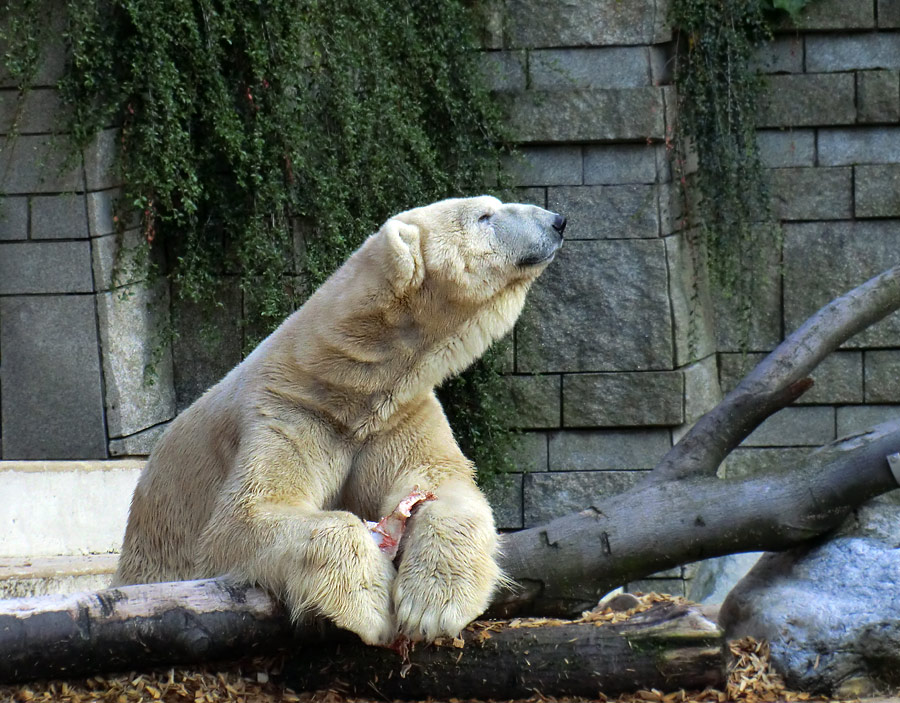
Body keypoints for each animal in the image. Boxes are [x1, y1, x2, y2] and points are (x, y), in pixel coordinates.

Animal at [112, 195, 564, 648]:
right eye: (484, 215)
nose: (557, 220)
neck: (349, 384)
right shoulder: (287, 413)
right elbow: (246, 515)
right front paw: (370, 603)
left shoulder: (396, 416)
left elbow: (441, 482)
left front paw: (433, 605)